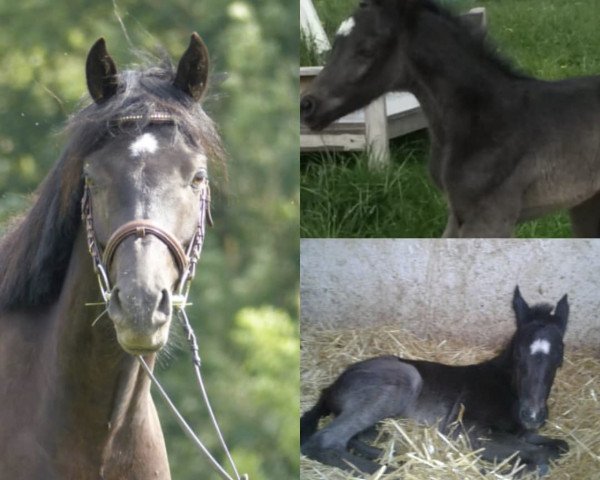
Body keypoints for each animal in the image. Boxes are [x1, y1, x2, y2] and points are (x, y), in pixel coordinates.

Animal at [300, 0, 600, 238]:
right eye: (335, 45)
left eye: (367, 49)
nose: (307, 106)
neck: (481, 117)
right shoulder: (457, 216)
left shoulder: (491, 218)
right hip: (586, 205)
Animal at [302, 286, 568, 474]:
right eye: (518, 354)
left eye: (559, 356)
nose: (532, 415)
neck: (507, 388)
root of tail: (330, 388)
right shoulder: (466, 431)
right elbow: (540, 455)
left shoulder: (521, 433)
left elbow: (560, 445)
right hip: (405, 378)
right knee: (324, 441)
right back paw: (391, 469)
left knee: (356, 437)